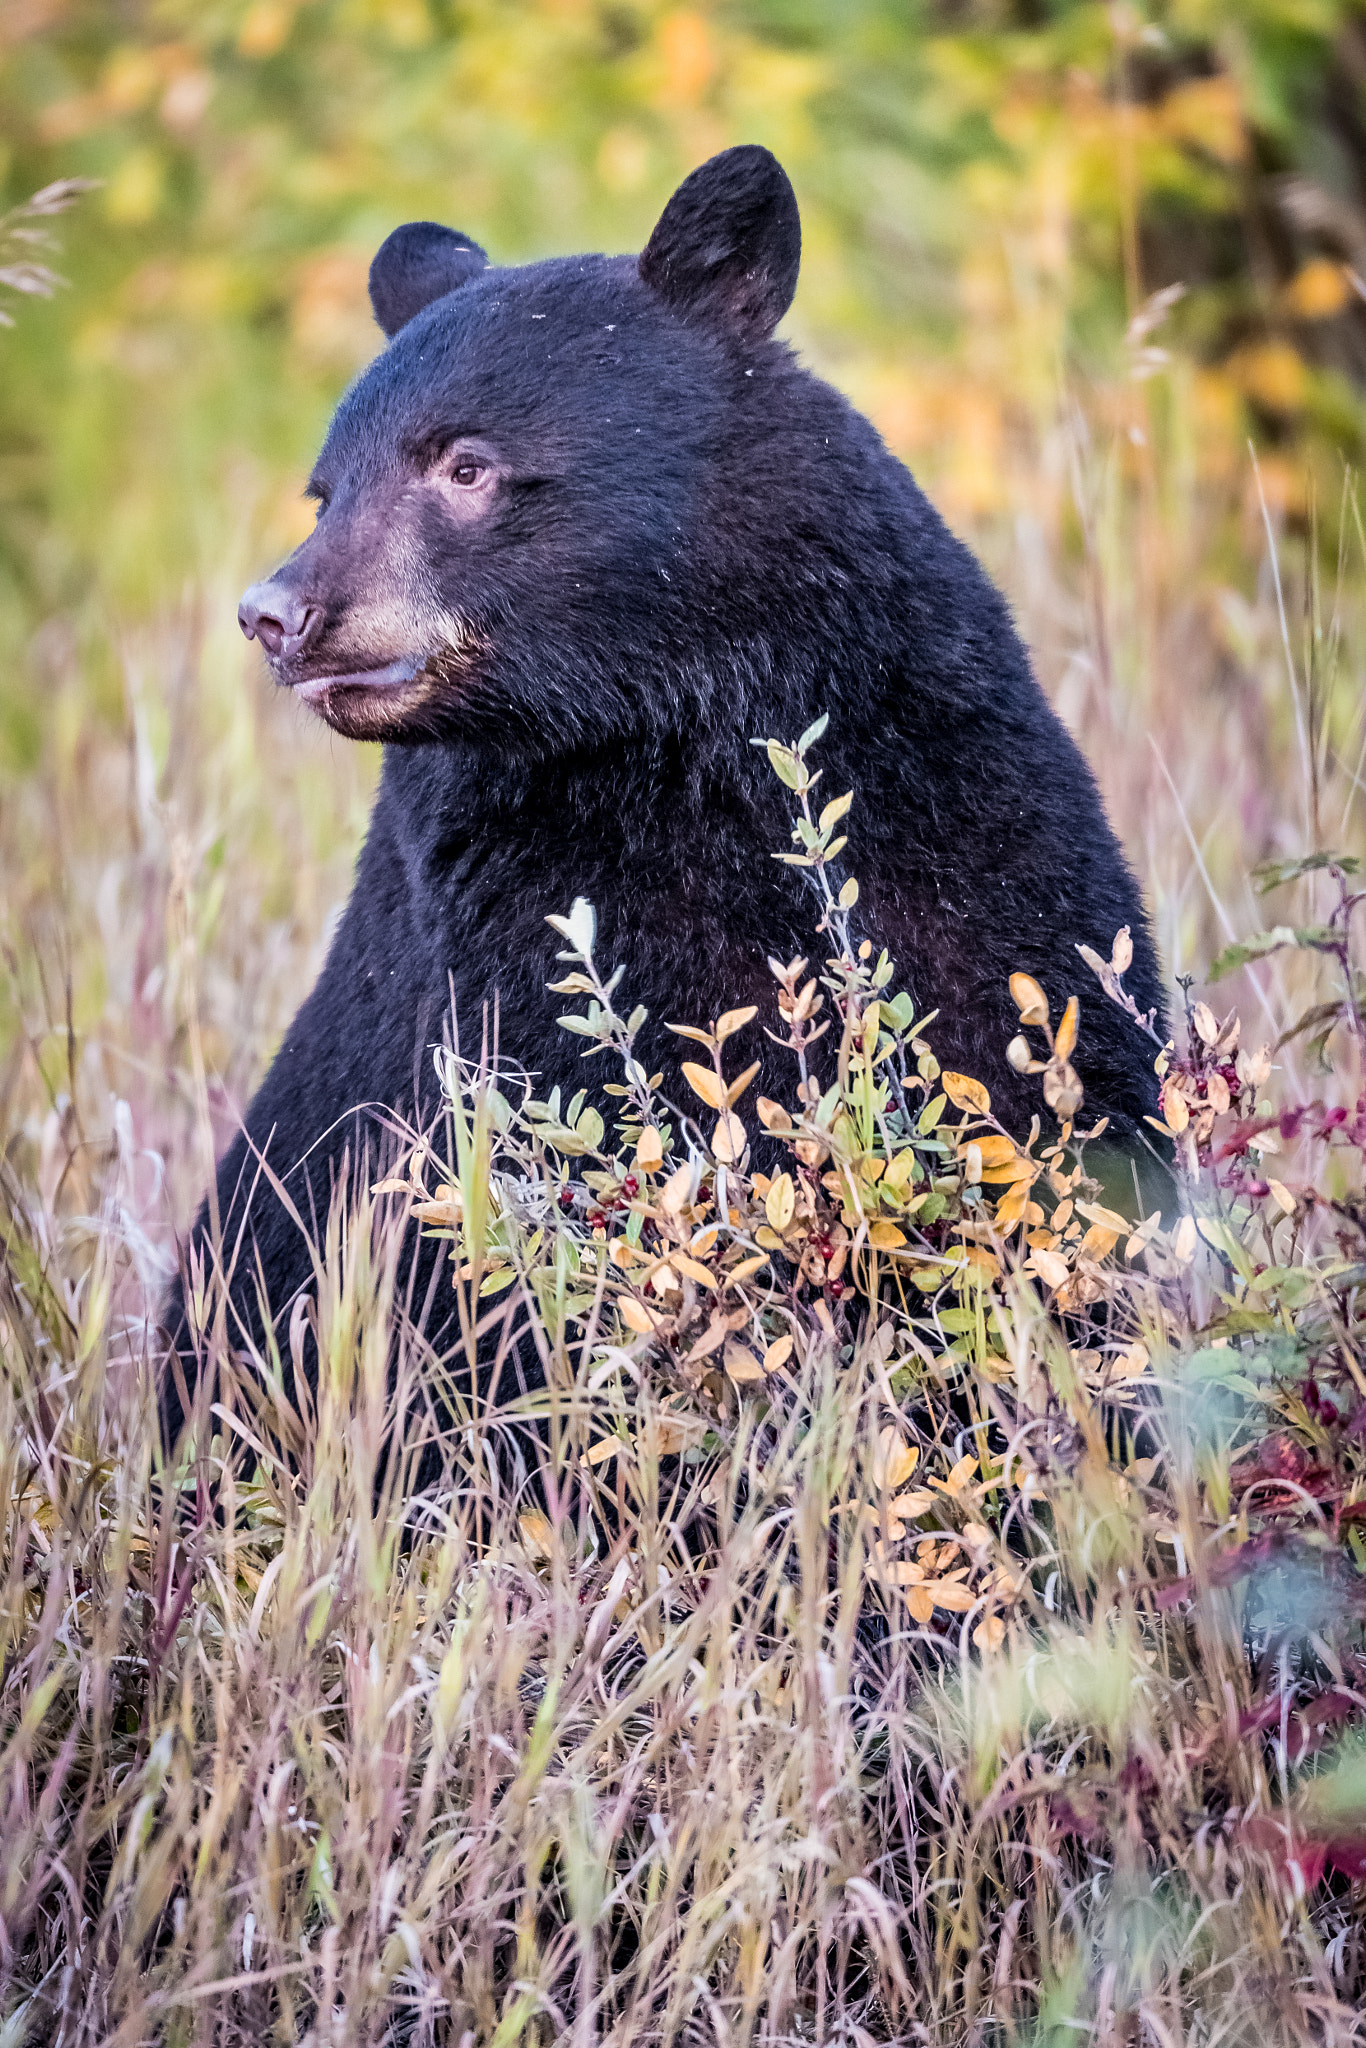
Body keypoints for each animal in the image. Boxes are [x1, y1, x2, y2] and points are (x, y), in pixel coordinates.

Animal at [162, 148, 1163, 1425]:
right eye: (325, 487)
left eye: (465, 462)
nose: (277, 612)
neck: (676, 733)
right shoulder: (509, 922)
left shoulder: (956, 798)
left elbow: (1053, 1059)